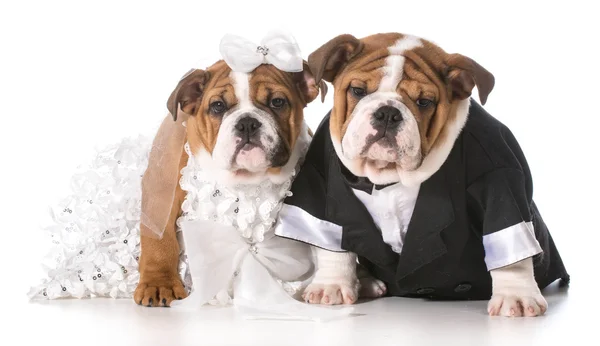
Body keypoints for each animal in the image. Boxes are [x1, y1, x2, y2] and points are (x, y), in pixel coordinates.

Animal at [274, 32, 568, 316]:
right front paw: (331, 285)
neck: (387, 177)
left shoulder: (497, 179)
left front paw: (515, 296)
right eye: (358, 90)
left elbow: (510, 250)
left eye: (425, 102)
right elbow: (332, 245)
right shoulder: (320, 179)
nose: (388, 112)